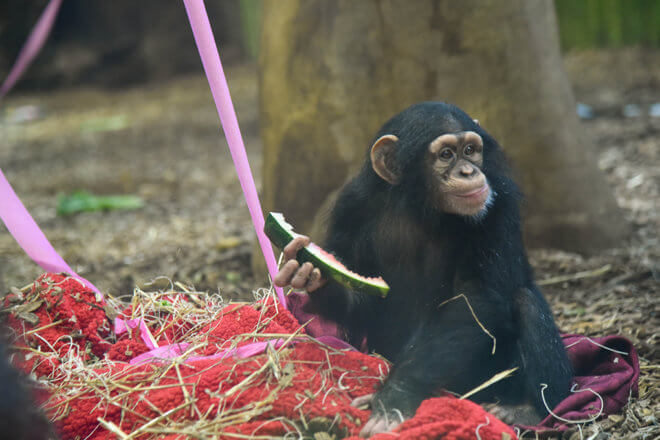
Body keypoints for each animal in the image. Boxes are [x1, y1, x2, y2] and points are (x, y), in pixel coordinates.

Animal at [274, 102, 572, 436]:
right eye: (446, 154)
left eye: (470, 150)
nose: (468, 171)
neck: (421, 205)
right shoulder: (350, 207)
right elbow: (362, 297)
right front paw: (314, 276)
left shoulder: (500, 202)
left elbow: (476, 299)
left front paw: (394, 398)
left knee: (526, 302)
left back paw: (528, 410)